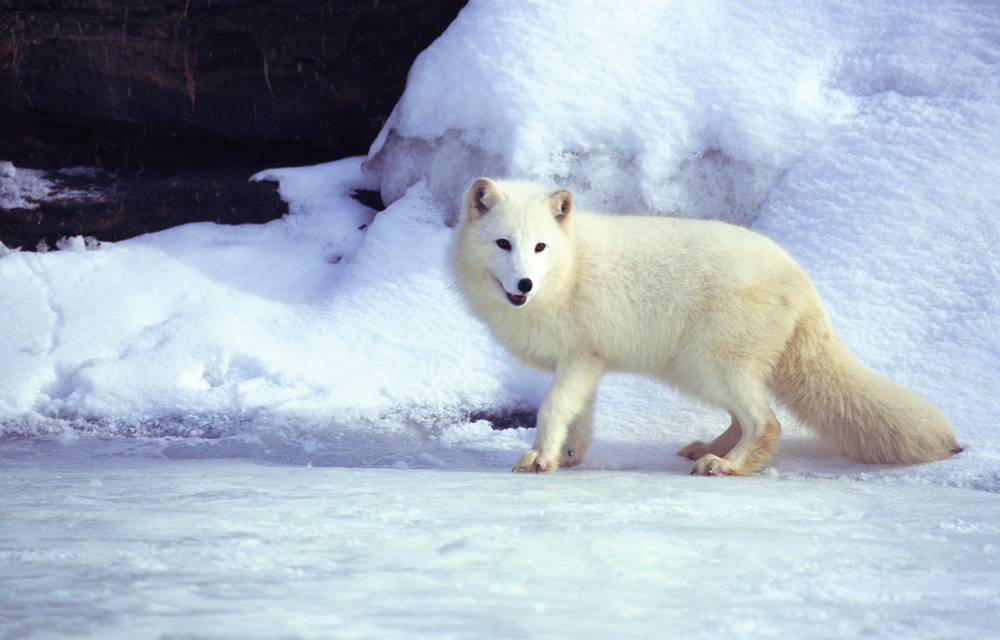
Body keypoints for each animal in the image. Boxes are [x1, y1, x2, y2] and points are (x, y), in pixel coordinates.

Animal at [454, 176, 960, 476]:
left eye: (540, 247)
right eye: (503, 244)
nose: (524, 282)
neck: (570, 269)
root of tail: (800, 278)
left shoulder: (578, 358)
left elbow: (553, 408)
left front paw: (540, 458)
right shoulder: (586, 361)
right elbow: (579, 416)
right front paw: (569, 456)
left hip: (707, 364)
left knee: (766, 421)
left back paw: (728, 466)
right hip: (700, 370)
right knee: (742, 418)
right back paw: (708, 450)